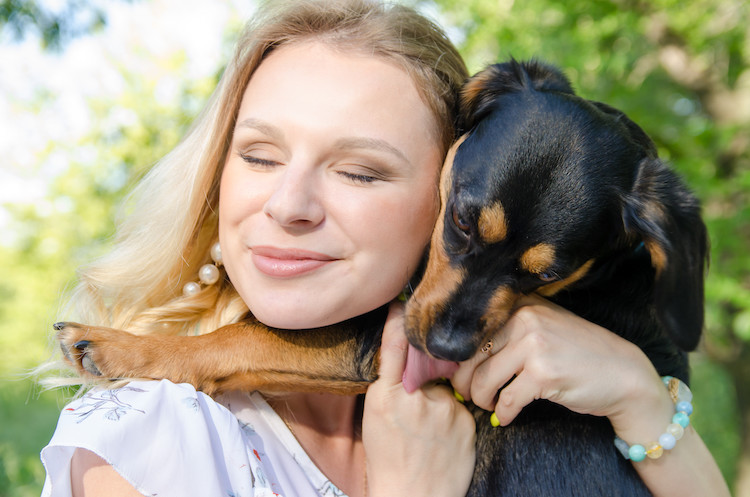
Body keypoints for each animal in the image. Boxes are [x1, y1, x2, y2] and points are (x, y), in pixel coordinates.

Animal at [55, 60, 708, 494]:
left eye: (548, 274)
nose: (447, 349)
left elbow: (239, 338)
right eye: (462, 221)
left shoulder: (367, 344)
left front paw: (117, 346)